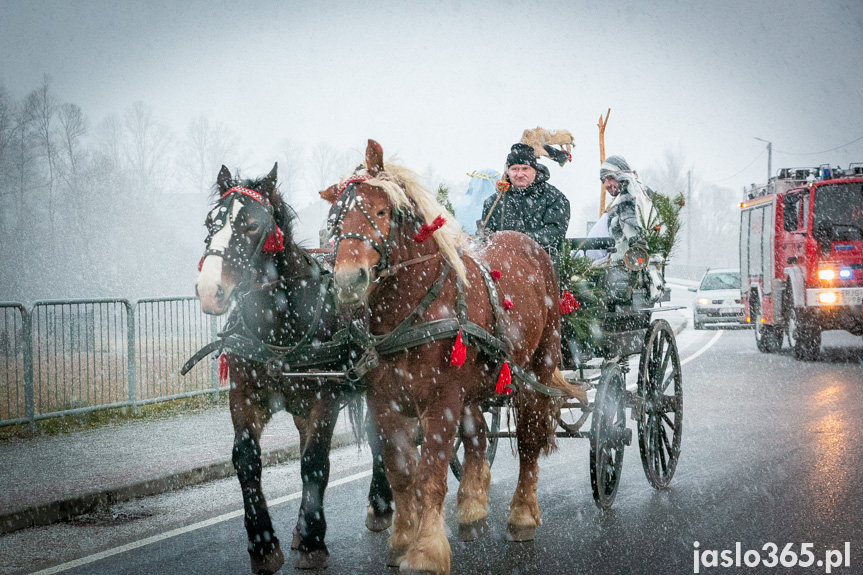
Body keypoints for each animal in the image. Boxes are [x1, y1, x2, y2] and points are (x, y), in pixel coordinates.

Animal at [320, 141, 572, 575]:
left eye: (381, 211)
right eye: (336, 216)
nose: (349, 280)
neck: (414, 308)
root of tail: (528, 243)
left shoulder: (442, 400)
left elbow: (430, 475)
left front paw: (425, 551)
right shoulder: (385, 401)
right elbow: (401, 472)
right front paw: (401, 540)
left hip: (536, 369)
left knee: (528, 440)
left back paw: (522, 514)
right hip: (473, 388)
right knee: (478, 436)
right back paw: (472, 510)